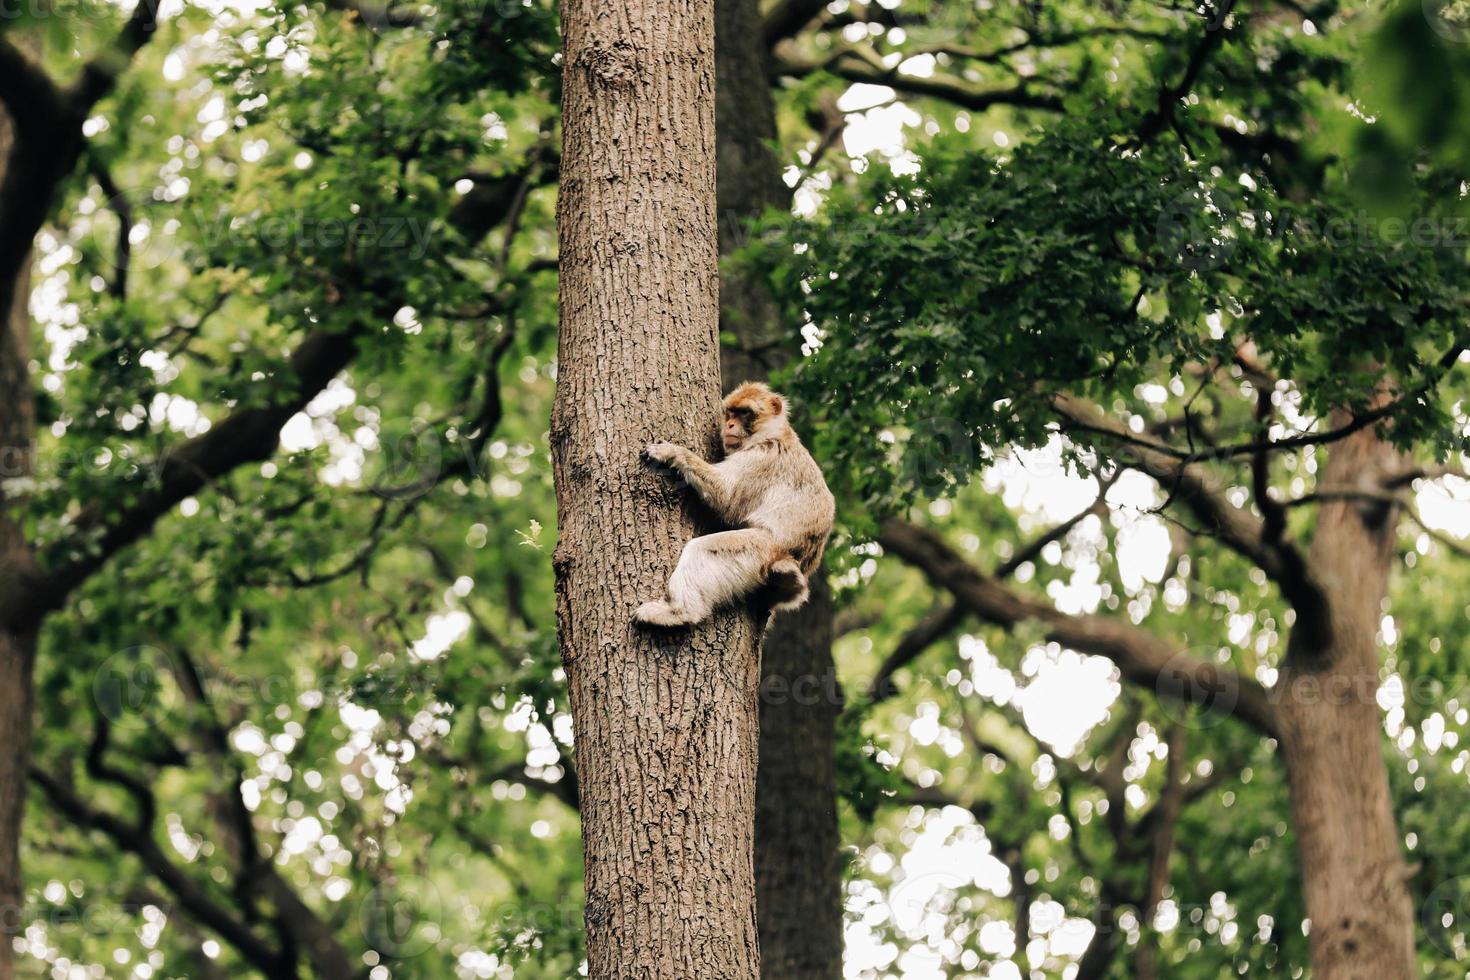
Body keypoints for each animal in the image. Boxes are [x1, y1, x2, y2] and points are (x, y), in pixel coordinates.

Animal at [635, 382, 834, 628]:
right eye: (730, 413)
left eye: (744, 413)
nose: (729, 425)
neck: (772, 433)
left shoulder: (763, 458)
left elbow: (728, 498)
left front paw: (673, 452)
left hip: (763, 548)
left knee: (703, 550)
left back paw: (678, 612)